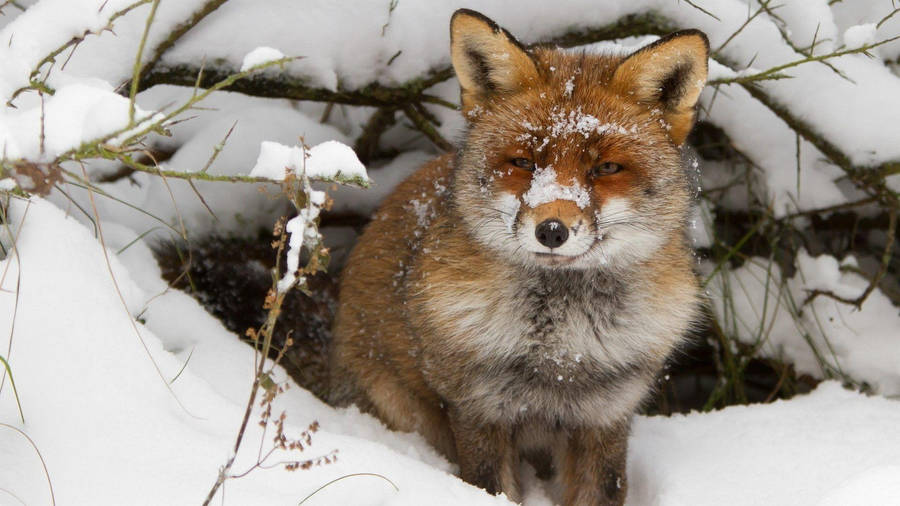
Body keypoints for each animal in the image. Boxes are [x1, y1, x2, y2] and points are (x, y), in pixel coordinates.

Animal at [330, 9, 708, 505]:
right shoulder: (479, 408)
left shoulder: (607, 414)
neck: (561, 353)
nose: (552, 231)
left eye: (606, 167)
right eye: (524, 162)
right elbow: (492, 486)